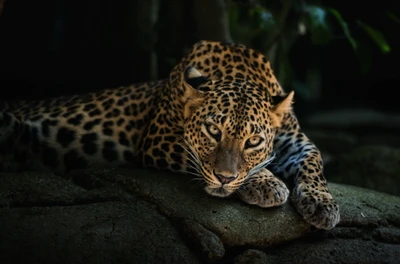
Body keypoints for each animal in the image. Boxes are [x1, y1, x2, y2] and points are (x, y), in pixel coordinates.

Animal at [0, 40, 340, 230]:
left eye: (253, 141)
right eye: (212, 131)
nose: (225, 179)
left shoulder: (295, 141)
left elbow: (314, 161)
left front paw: (322, 203)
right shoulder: (158, 139)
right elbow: (199, 159)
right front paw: (268, 183)